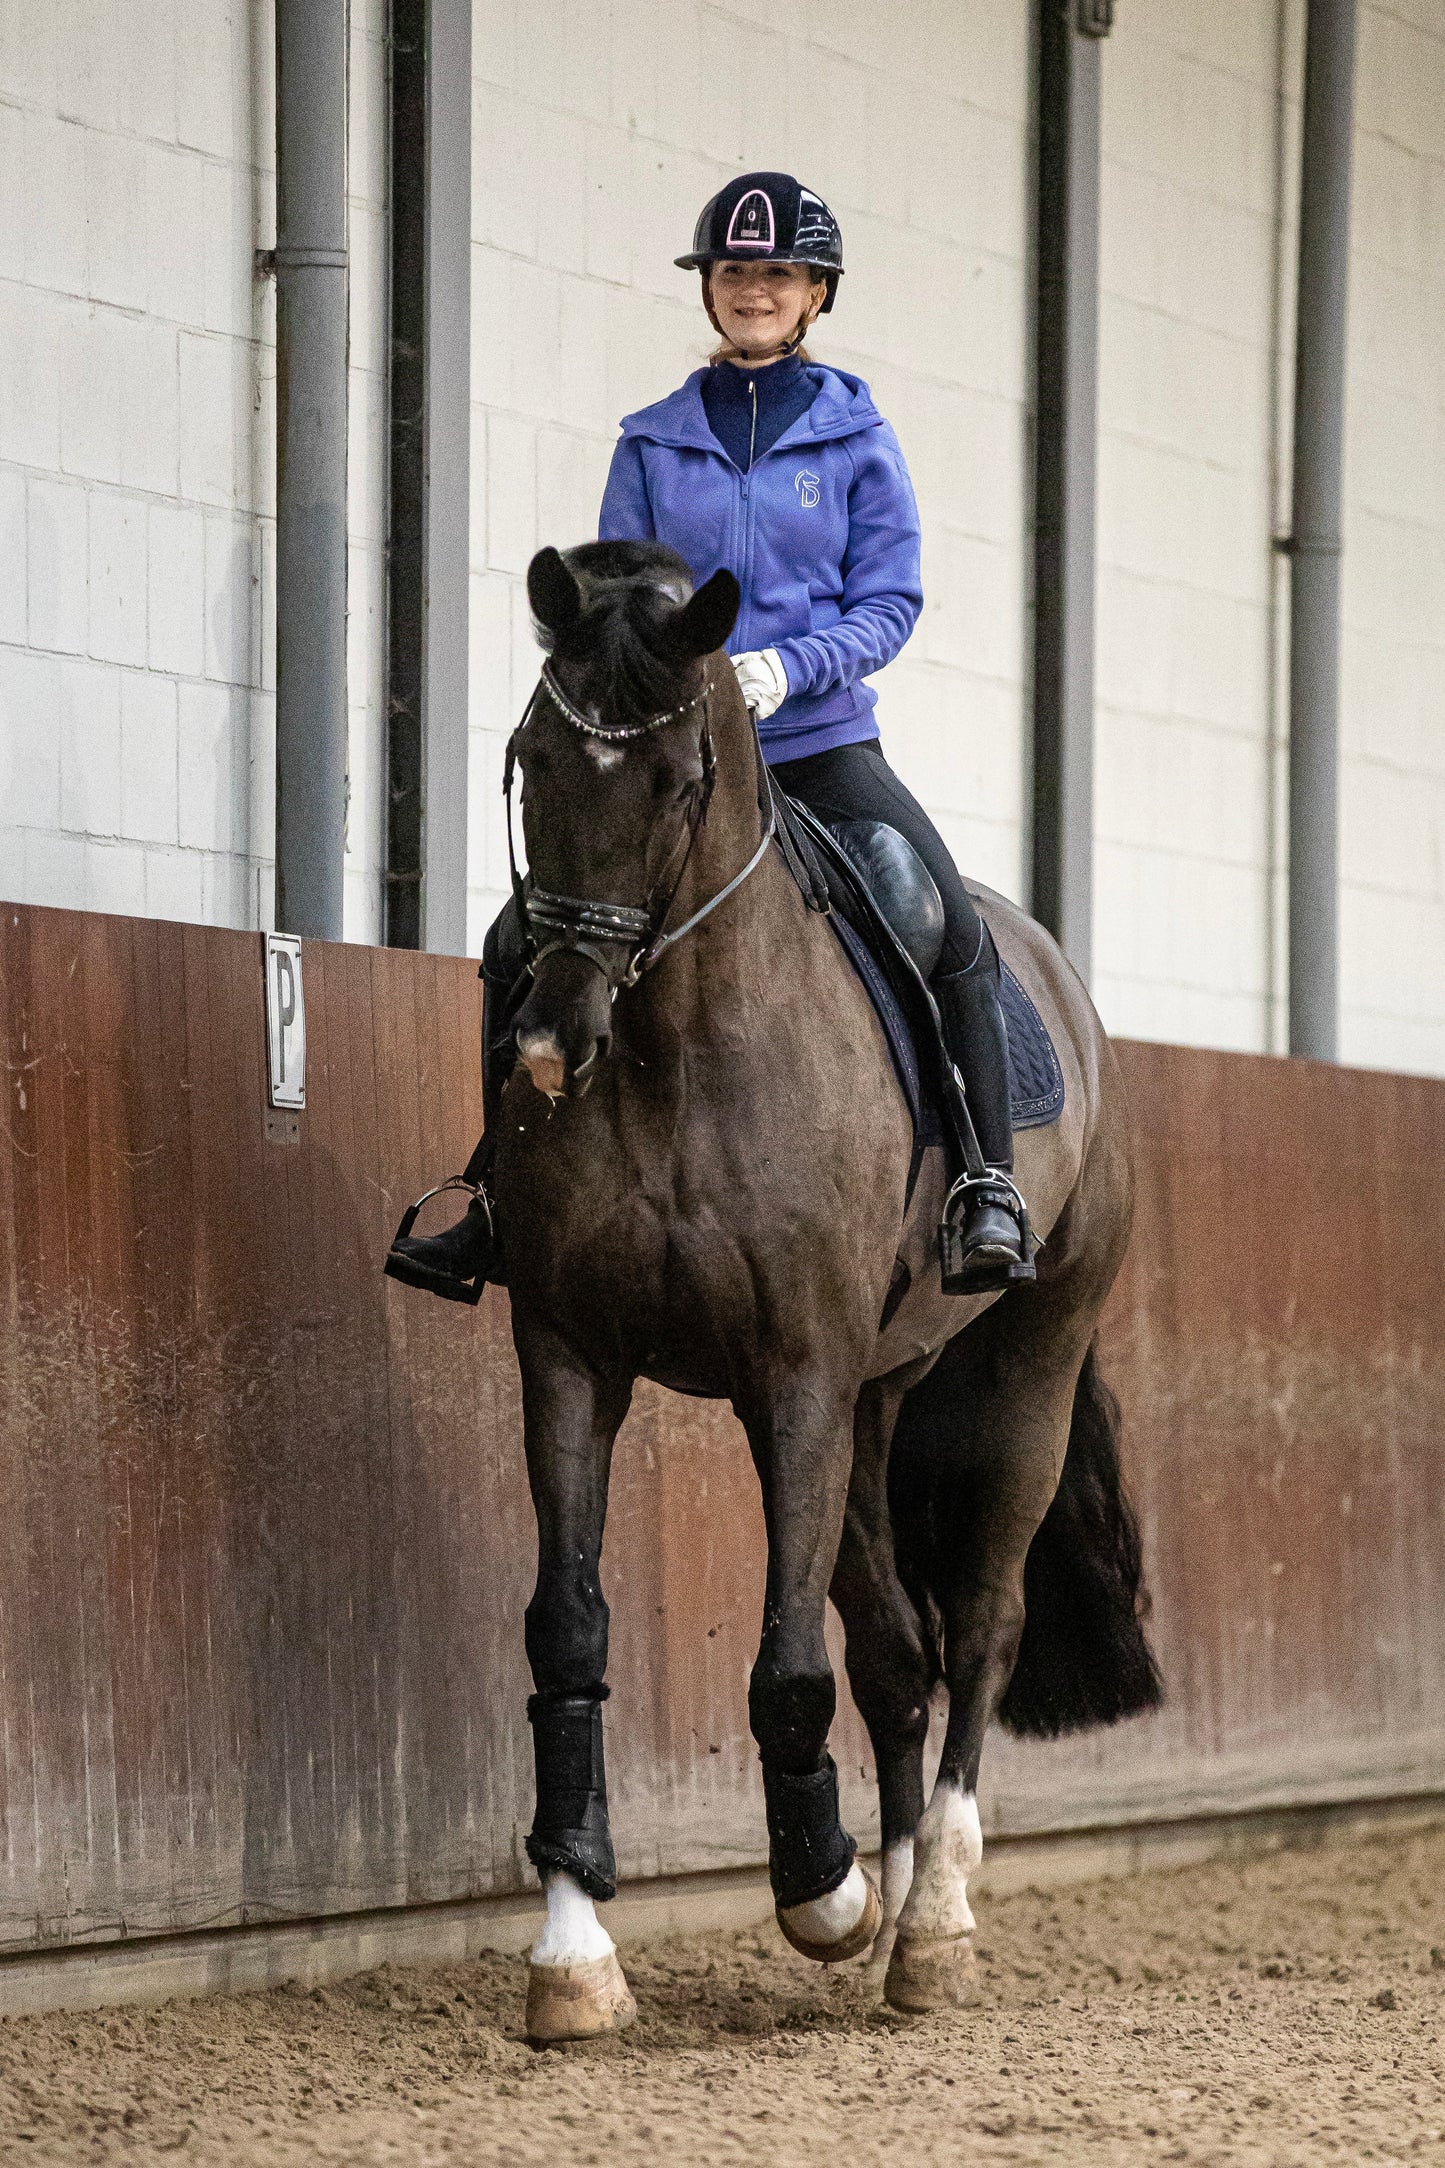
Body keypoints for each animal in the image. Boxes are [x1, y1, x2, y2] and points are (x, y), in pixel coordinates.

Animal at [498, 537, 1161, 2029]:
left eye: (678, 780)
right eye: (528, 761)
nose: (553, 1041)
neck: (676, 1050)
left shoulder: (790, 1375)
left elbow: (788, 1662)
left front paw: (823, 1891)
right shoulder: (569, 1353)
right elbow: (566, 1632)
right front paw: (573, 1952)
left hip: (1026, 1359)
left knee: (978, 1625)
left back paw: (935, 1920)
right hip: (878, 1392)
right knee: (898, 1646)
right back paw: (907, 1895)